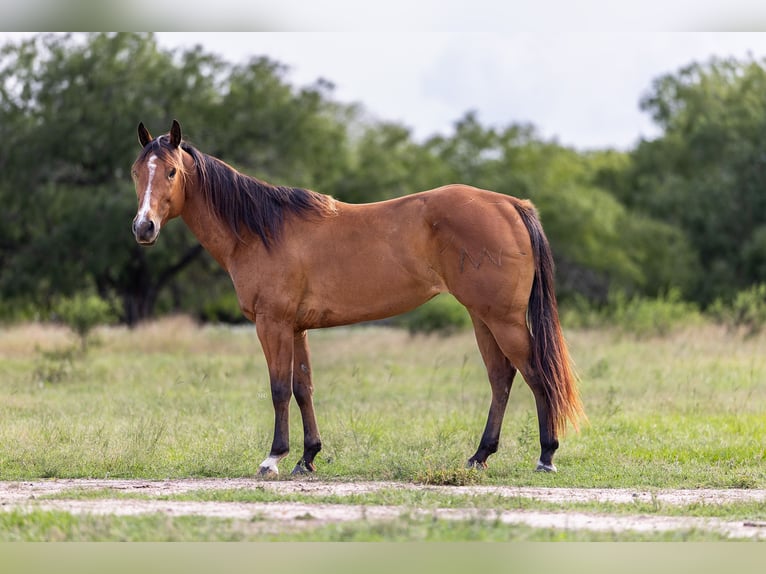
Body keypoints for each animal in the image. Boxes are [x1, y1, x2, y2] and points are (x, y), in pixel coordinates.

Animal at [130, 120, 584, 477]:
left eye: (171, 172)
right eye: (137, 172)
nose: (143, 227)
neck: (261, 230)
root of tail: (510, 204)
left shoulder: (272, 324)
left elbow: (278, 389)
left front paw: (274, 458)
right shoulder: (297, 329)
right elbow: (303, 388)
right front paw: (307, 458)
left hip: (502, 318)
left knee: (536, 374)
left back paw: (546, 456)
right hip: (481, 317)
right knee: (501, 378)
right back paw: (479, 456)